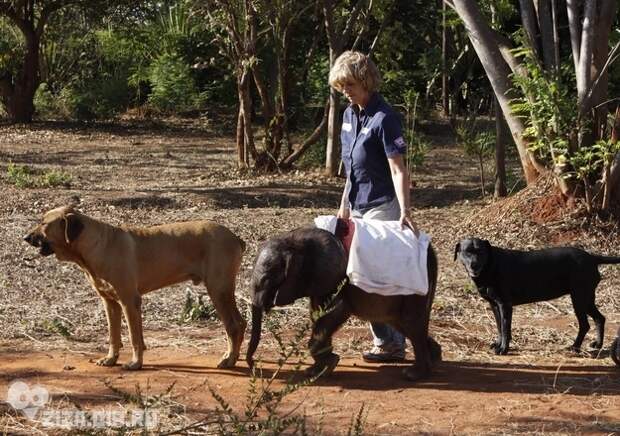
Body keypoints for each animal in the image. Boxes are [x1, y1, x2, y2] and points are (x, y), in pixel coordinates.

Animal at [24, 206, 247, 370]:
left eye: (43, 223)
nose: (26, 238)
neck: (97, 245)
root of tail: (236, 237)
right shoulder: (110, 303)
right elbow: (113, 335)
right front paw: (111, 359)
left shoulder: (129, 301)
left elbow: (134, 337)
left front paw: (135, 363)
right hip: (223, 290)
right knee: (241, 323)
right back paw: (234, 357)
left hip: (218, 289)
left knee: (233, 325)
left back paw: (229, 359)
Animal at [452, 238, 620, 354]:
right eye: (467, 252)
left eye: (481, 252)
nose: (474, 265)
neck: (490, 266)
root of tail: (592, 257)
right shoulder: (494, 305)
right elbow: (500, 327)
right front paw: (498, 344)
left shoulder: (505, 305)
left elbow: (505, 328)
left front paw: (503, 349)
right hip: (586, 298)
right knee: (600, 318)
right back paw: (597, 344)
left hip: (579, 298)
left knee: (585, 324)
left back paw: (574, 347)